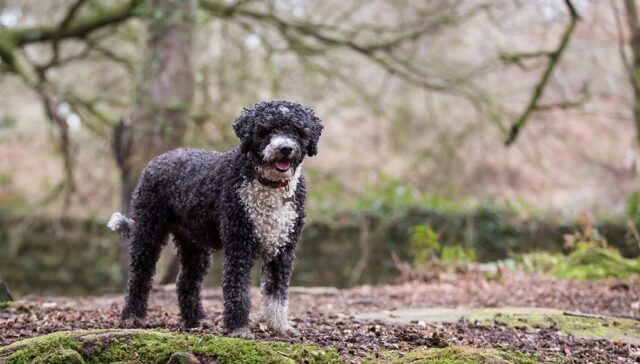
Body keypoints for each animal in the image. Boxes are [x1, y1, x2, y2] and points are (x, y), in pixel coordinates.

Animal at [108, 100, 324, 338]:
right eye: (266, 130)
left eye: (297, 130)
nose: (285, 148)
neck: (268, 184)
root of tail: (161, 158)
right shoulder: (239, 245)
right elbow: (238, 290)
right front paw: (239, 328)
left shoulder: (282, 248)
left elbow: (277, 293)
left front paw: (280, 326)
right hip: (148, 231)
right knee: (140, 275)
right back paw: (132, 316)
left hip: (194, 245)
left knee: (186, 282)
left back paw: (196, 319)